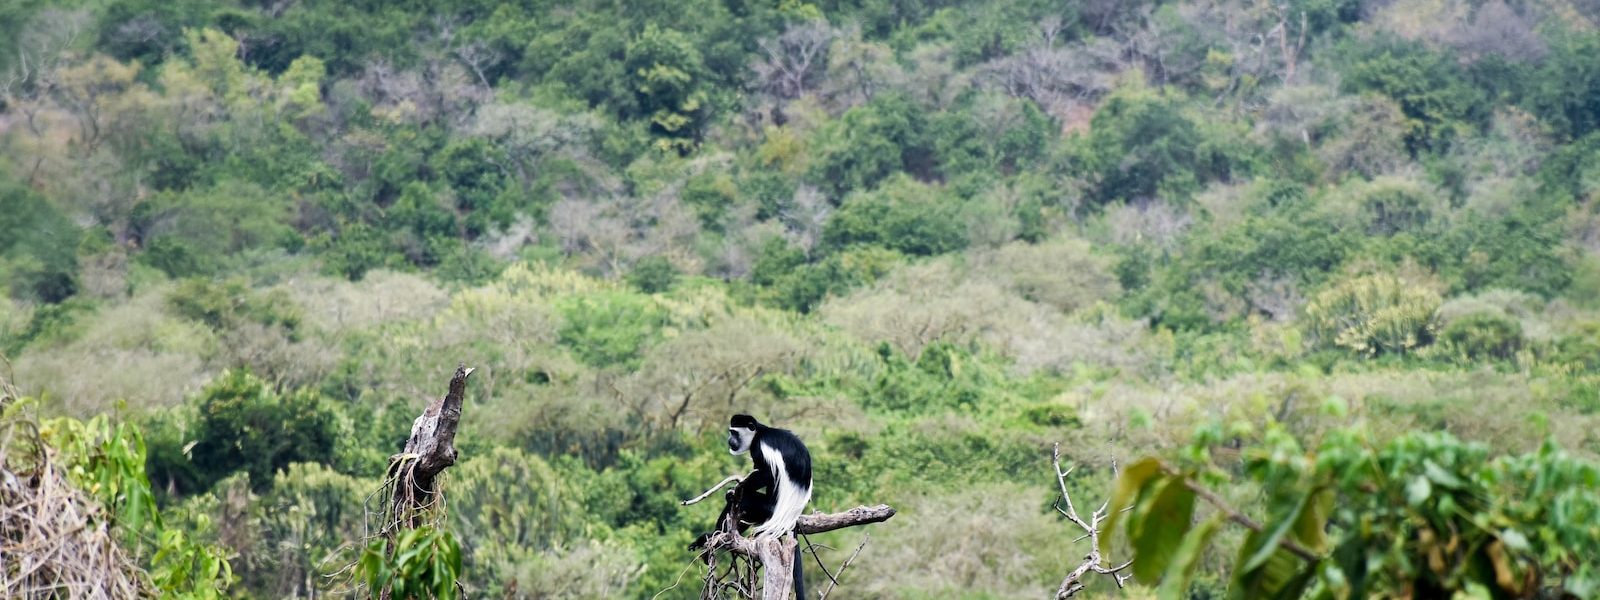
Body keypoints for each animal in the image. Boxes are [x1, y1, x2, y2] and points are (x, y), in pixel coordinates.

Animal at [688, 416, 812, 598]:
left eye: (734, 433)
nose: (729, 440)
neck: (759, 433)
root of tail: (792, 516)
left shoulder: (759, 448)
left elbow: (765, 473)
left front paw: (735, 489)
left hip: (767, 508)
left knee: (746, 500)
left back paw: (712, 536)